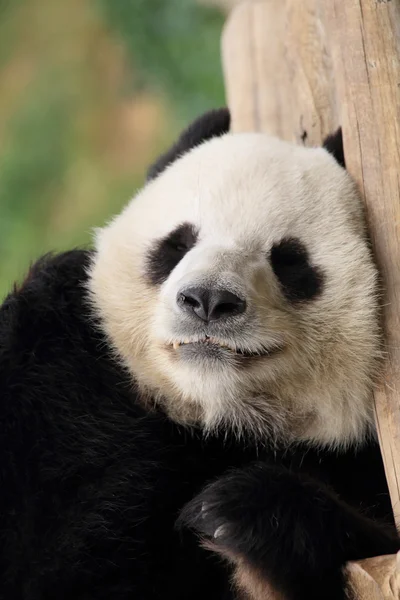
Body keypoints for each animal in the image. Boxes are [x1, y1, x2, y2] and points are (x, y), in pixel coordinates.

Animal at [0, 109, 398, 600]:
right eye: (177, 244)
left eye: (289, 259)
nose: (208, 300)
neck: (215, 419)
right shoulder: (56, 380)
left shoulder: (355, 462)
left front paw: (236, 513)